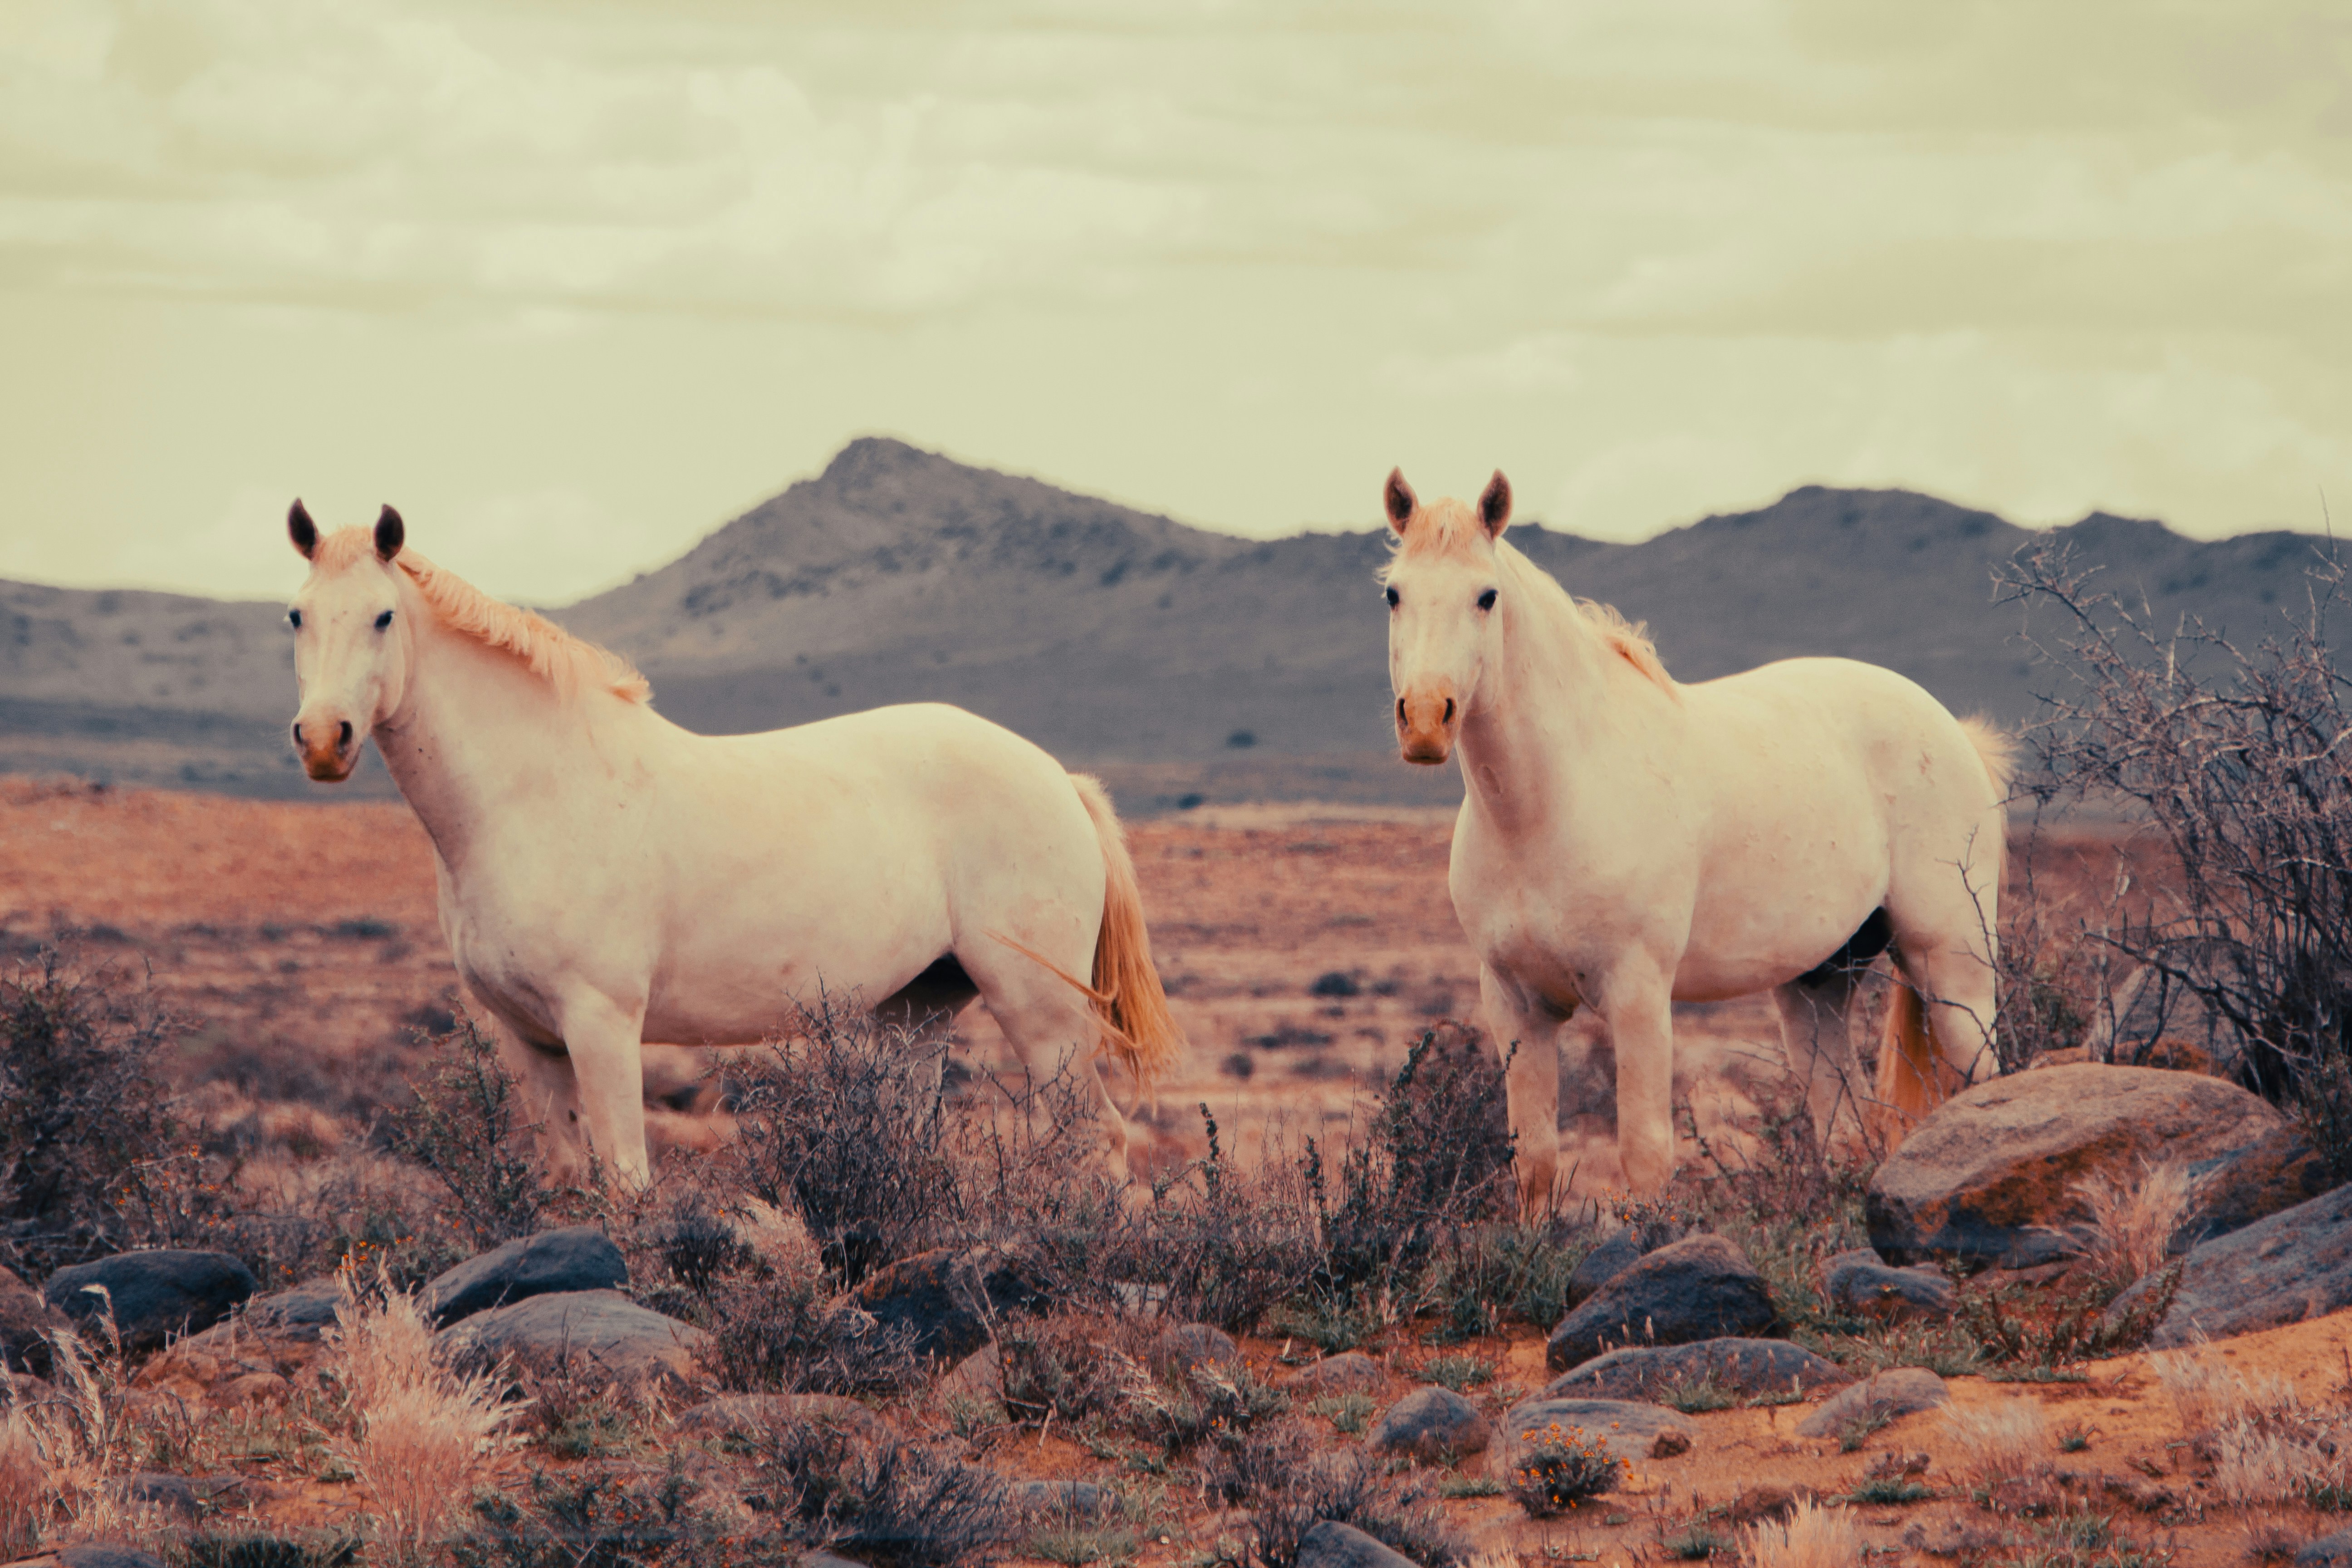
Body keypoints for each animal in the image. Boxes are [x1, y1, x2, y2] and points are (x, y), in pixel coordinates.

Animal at [279, 500, 1185, 1186]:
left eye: (383, 616)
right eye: (296, 615)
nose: (324, 740)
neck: (529, 797)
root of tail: (1058, 778)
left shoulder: (601, 1024)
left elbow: (626, 1181)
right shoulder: (530, 1039)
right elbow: (570, 1181)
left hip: (1040, 1012)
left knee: (1097, 1139)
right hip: (916, 1010)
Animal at [1378, 469, 2011, 1209]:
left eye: (1486, 596)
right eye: (1394, 593)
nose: (1426, 720)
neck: (1550, 805)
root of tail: (1953, 730)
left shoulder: (1639, 995)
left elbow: (1646, 1156)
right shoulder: (1515, 1005)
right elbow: (1533, 1163)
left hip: (1953, 969)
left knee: (1984, 1084)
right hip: (1818, 985)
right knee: (1846, 1129)